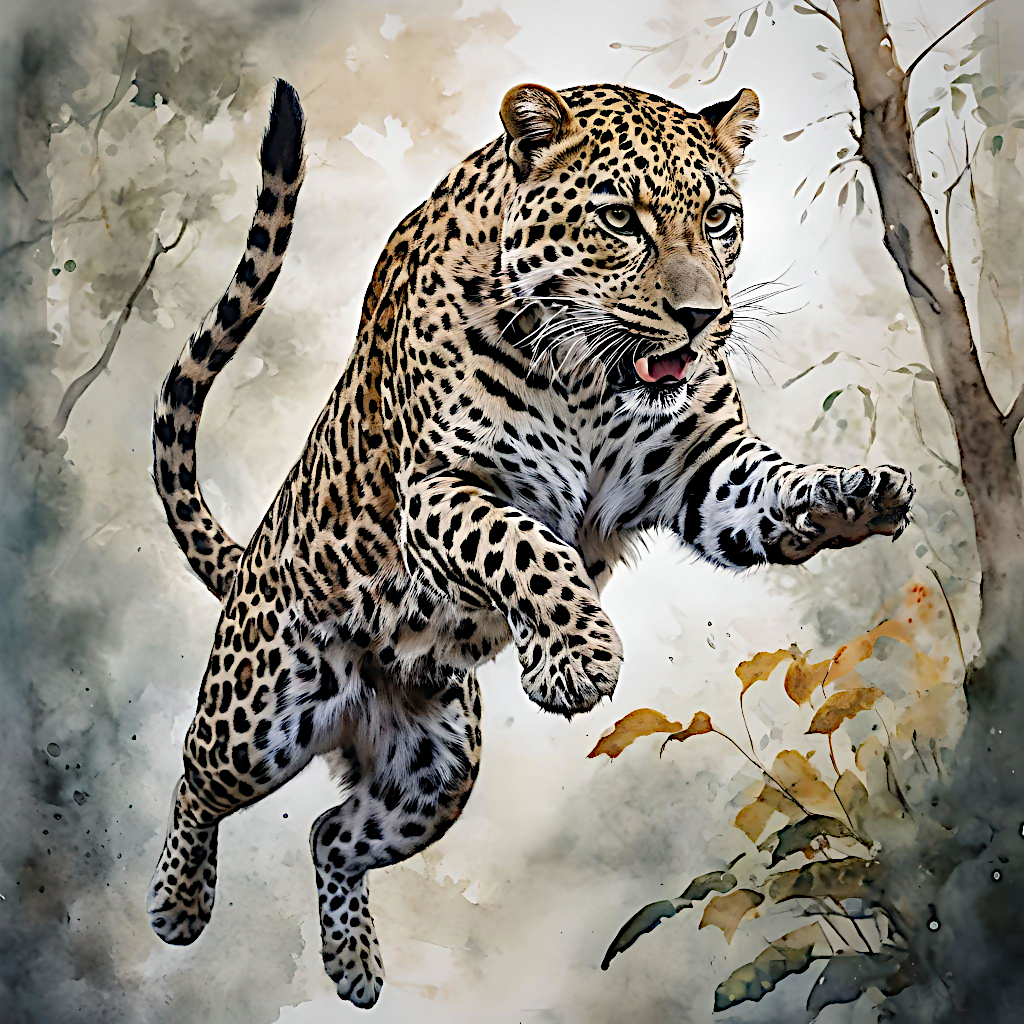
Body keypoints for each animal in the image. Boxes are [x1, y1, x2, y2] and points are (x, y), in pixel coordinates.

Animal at [147, 78, 913, 1007]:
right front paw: (576, 661)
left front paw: (856, 495)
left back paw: (355, 966)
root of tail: (251, 555)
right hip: (260, 719)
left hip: (432, 777)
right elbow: (525, 546)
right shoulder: (442, 487)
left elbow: (776, 487)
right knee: (195, 777)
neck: (590, 378)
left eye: (719, 218)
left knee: (330, 832)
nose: (701, 320)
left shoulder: (705, 471)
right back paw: (177, 904)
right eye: (621, 219)